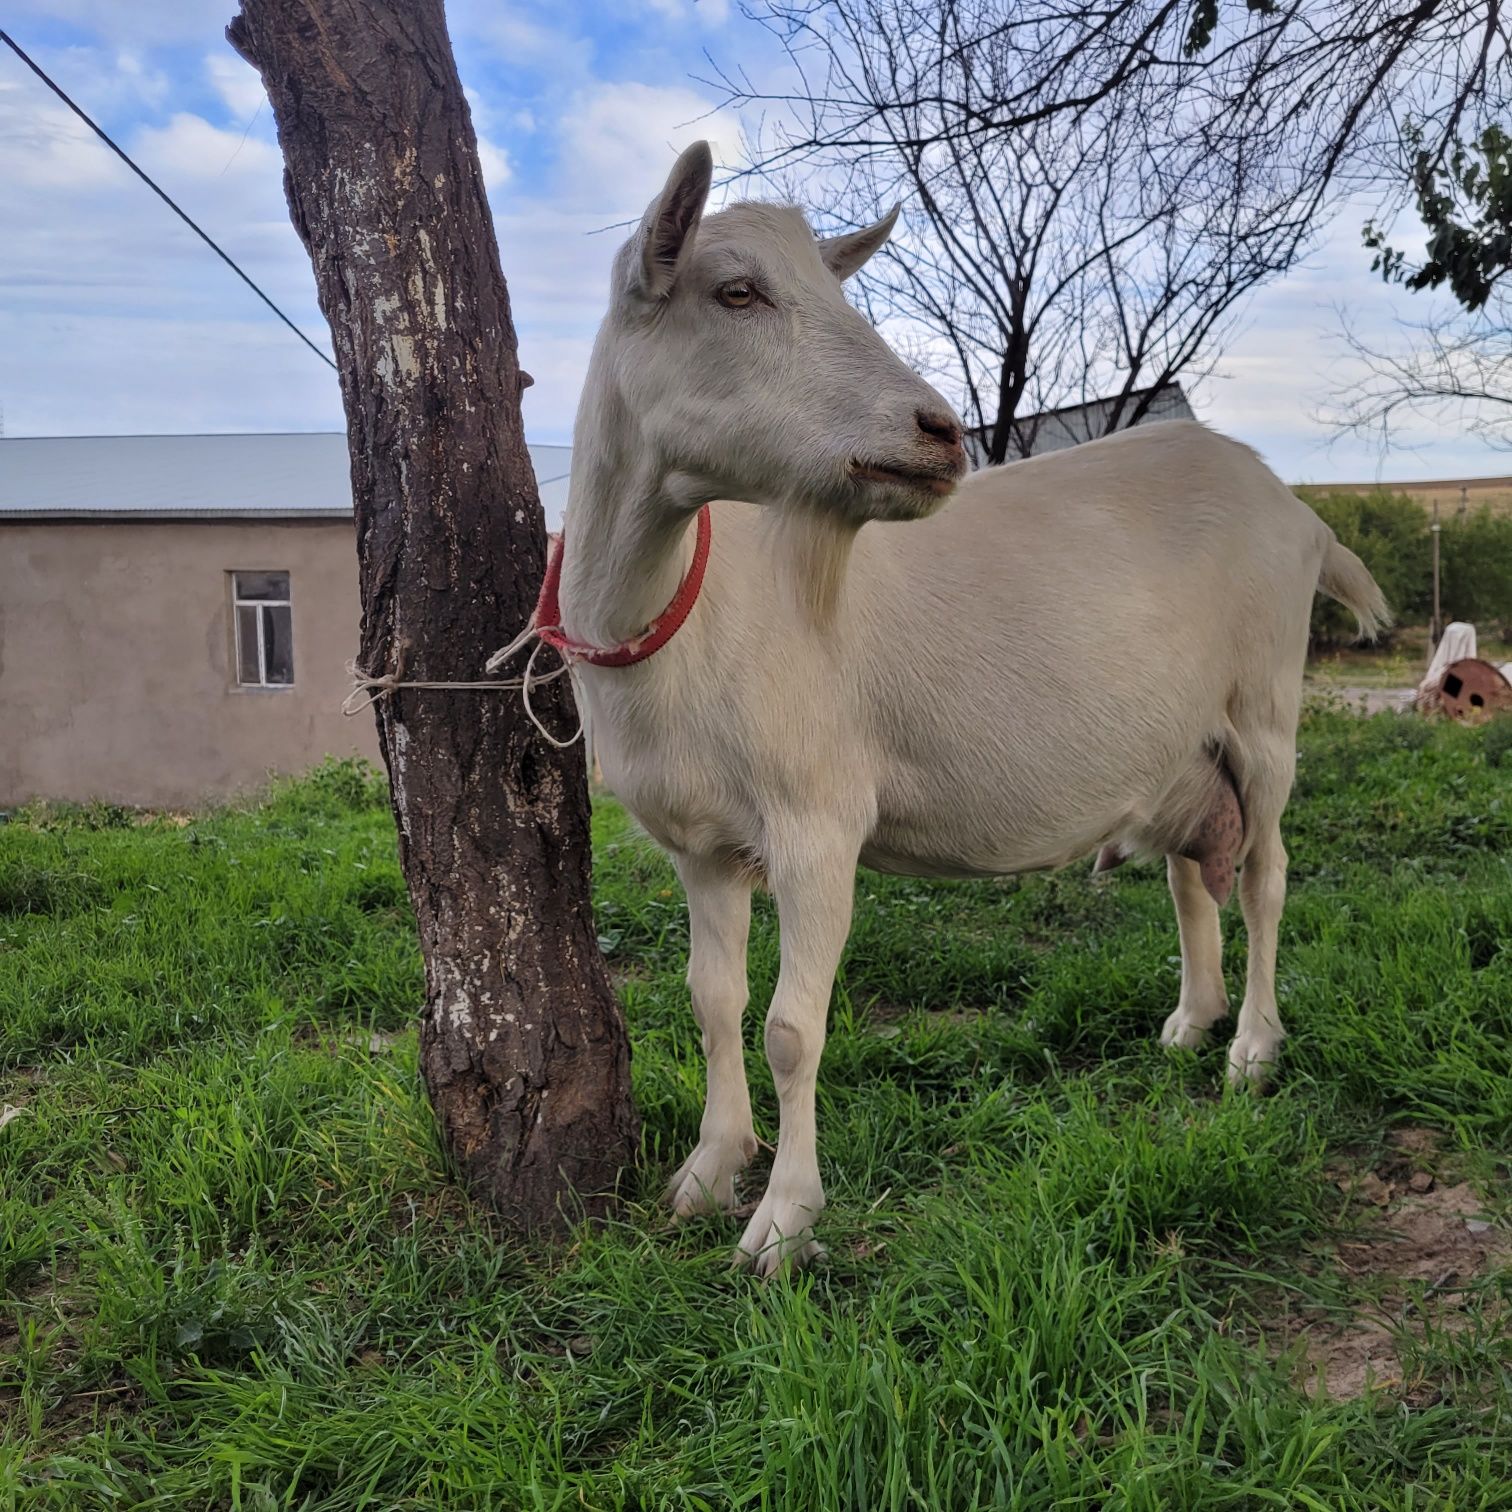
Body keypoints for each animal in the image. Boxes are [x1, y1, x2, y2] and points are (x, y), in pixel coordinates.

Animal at [553, 144, 1384, 1276]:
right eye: (735, 292)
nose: (941, 432)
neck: (684, 608)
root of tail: (1296, 507)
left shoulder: (817, 819)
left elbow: (790, 1030)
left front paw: (784, 1222)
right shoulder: (703, 845)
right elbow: (711, 1003)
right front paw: (707, 1175)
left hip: (1263, 709)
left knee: (1264, 875)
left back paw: (1252, 1046)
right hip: (1185, 738)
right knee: (1191, 877)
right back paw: (1192, 1020)